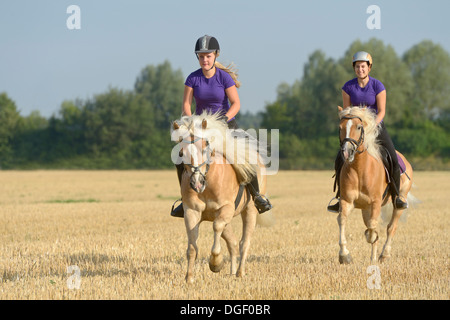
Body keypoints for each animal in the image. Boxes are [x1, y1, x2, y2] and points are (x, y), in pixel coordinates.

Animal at [171, 111, 272, 284]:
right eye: (181, 153)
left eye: (205, 146)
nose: (197, 183)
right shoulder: (191, 211)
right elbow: (192, 247)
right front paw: (189, 278)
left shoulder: (226, 208)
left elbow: (217, 228)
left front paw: (215, 263)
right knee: (232, 242)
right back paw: (232, 272)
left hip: (249, 210)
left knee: (244, 242)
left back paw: (240, 273)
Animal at [336, 106, 414, 264]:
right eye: (340, 128)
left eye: (359, 127)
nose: (347, 152)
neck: (359, 168)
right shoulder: (347, 201)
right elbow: (342, 219)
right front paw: (344, 255)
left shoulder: (375, 202)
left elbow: (373, 227)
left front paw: (371, 238)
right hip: (365, 208)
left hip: (399, 201)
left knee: (391, 227)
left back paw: (384, 255)